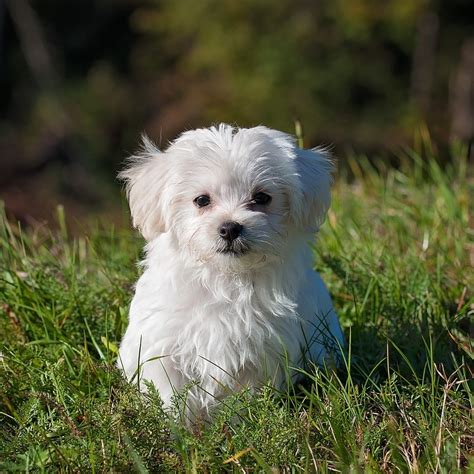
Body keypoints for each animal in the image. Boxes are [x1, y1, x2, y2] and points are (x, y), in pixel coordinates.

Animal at [117, 123, 344, 418]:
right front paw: (176, 425)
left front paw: (239, 421)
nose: (229, 228)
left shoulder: (261, 353)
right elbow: (170, 394)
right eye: (201, 200)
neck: (226, 278)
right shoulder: (163, 346)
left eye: (262, 197)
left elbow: (244, 397)